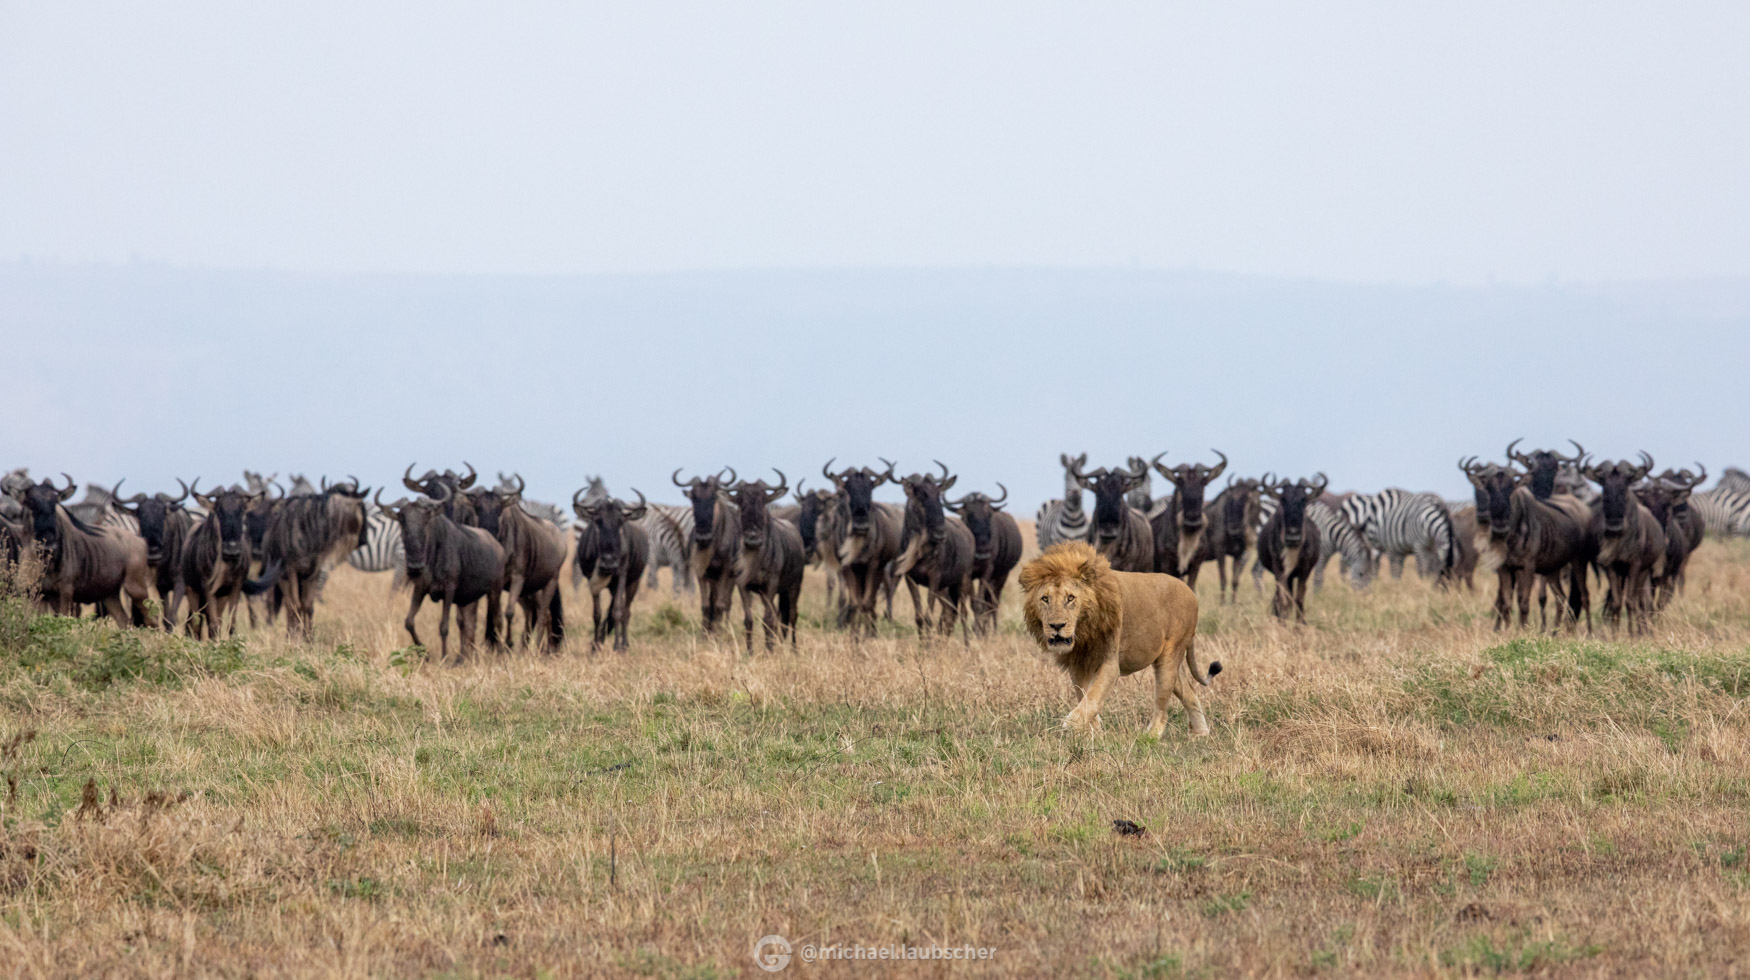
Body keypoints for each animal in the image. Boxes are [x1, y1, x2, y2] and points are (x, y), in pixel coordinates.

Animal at [1015, 539, 1218, 738]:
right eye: (1045, 599)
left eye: (1070, 598)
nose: (1056, 626)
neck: (1083, 631)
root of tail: (1191, 592)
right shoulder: (1078, 664)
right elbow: (1084, 694)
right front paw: (1092, 730)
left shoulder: (1110, 662)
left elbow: (1094, 694)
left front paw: (1072, 724)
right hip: (1169, 661)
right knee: (1188, 693)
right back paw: (1200, 734)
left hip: (1170, 656)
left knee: (1162, 707)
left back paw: (1149, 737)